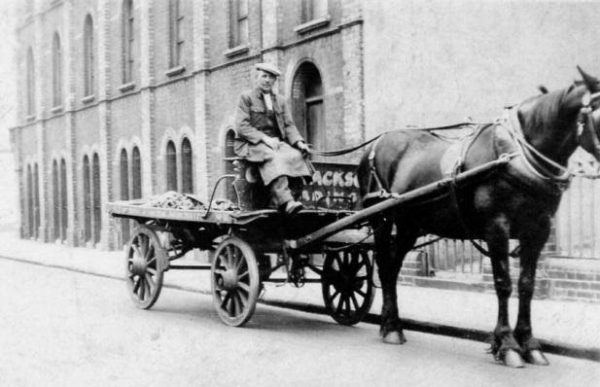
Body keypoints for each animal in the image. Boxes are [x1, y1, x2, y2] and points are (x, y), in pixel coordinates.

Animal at [358, 67, 600, 370]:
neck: (519, 154)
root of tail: (374, 145)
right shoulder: (496, 228)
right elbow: (503, 283)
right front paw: (507, 345)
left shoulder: (539, 230)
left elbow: (527, 285)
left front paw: (529, 344)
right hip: (382, 220)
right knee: (384, 265)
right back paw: (391, 328)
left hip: (409, 225)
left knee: (391, 267)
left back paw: (391, 325)